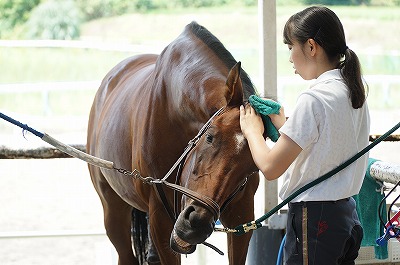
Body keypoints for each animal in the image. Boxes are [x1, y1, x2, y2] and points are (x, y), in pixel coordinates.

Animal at [86, 21, 262, 264]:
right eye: (210, 137)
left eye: (253, 166)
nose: (197, 223)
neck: (174, 105)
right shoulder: (160, 217)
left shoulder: (241, 218)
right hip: (113, 209)